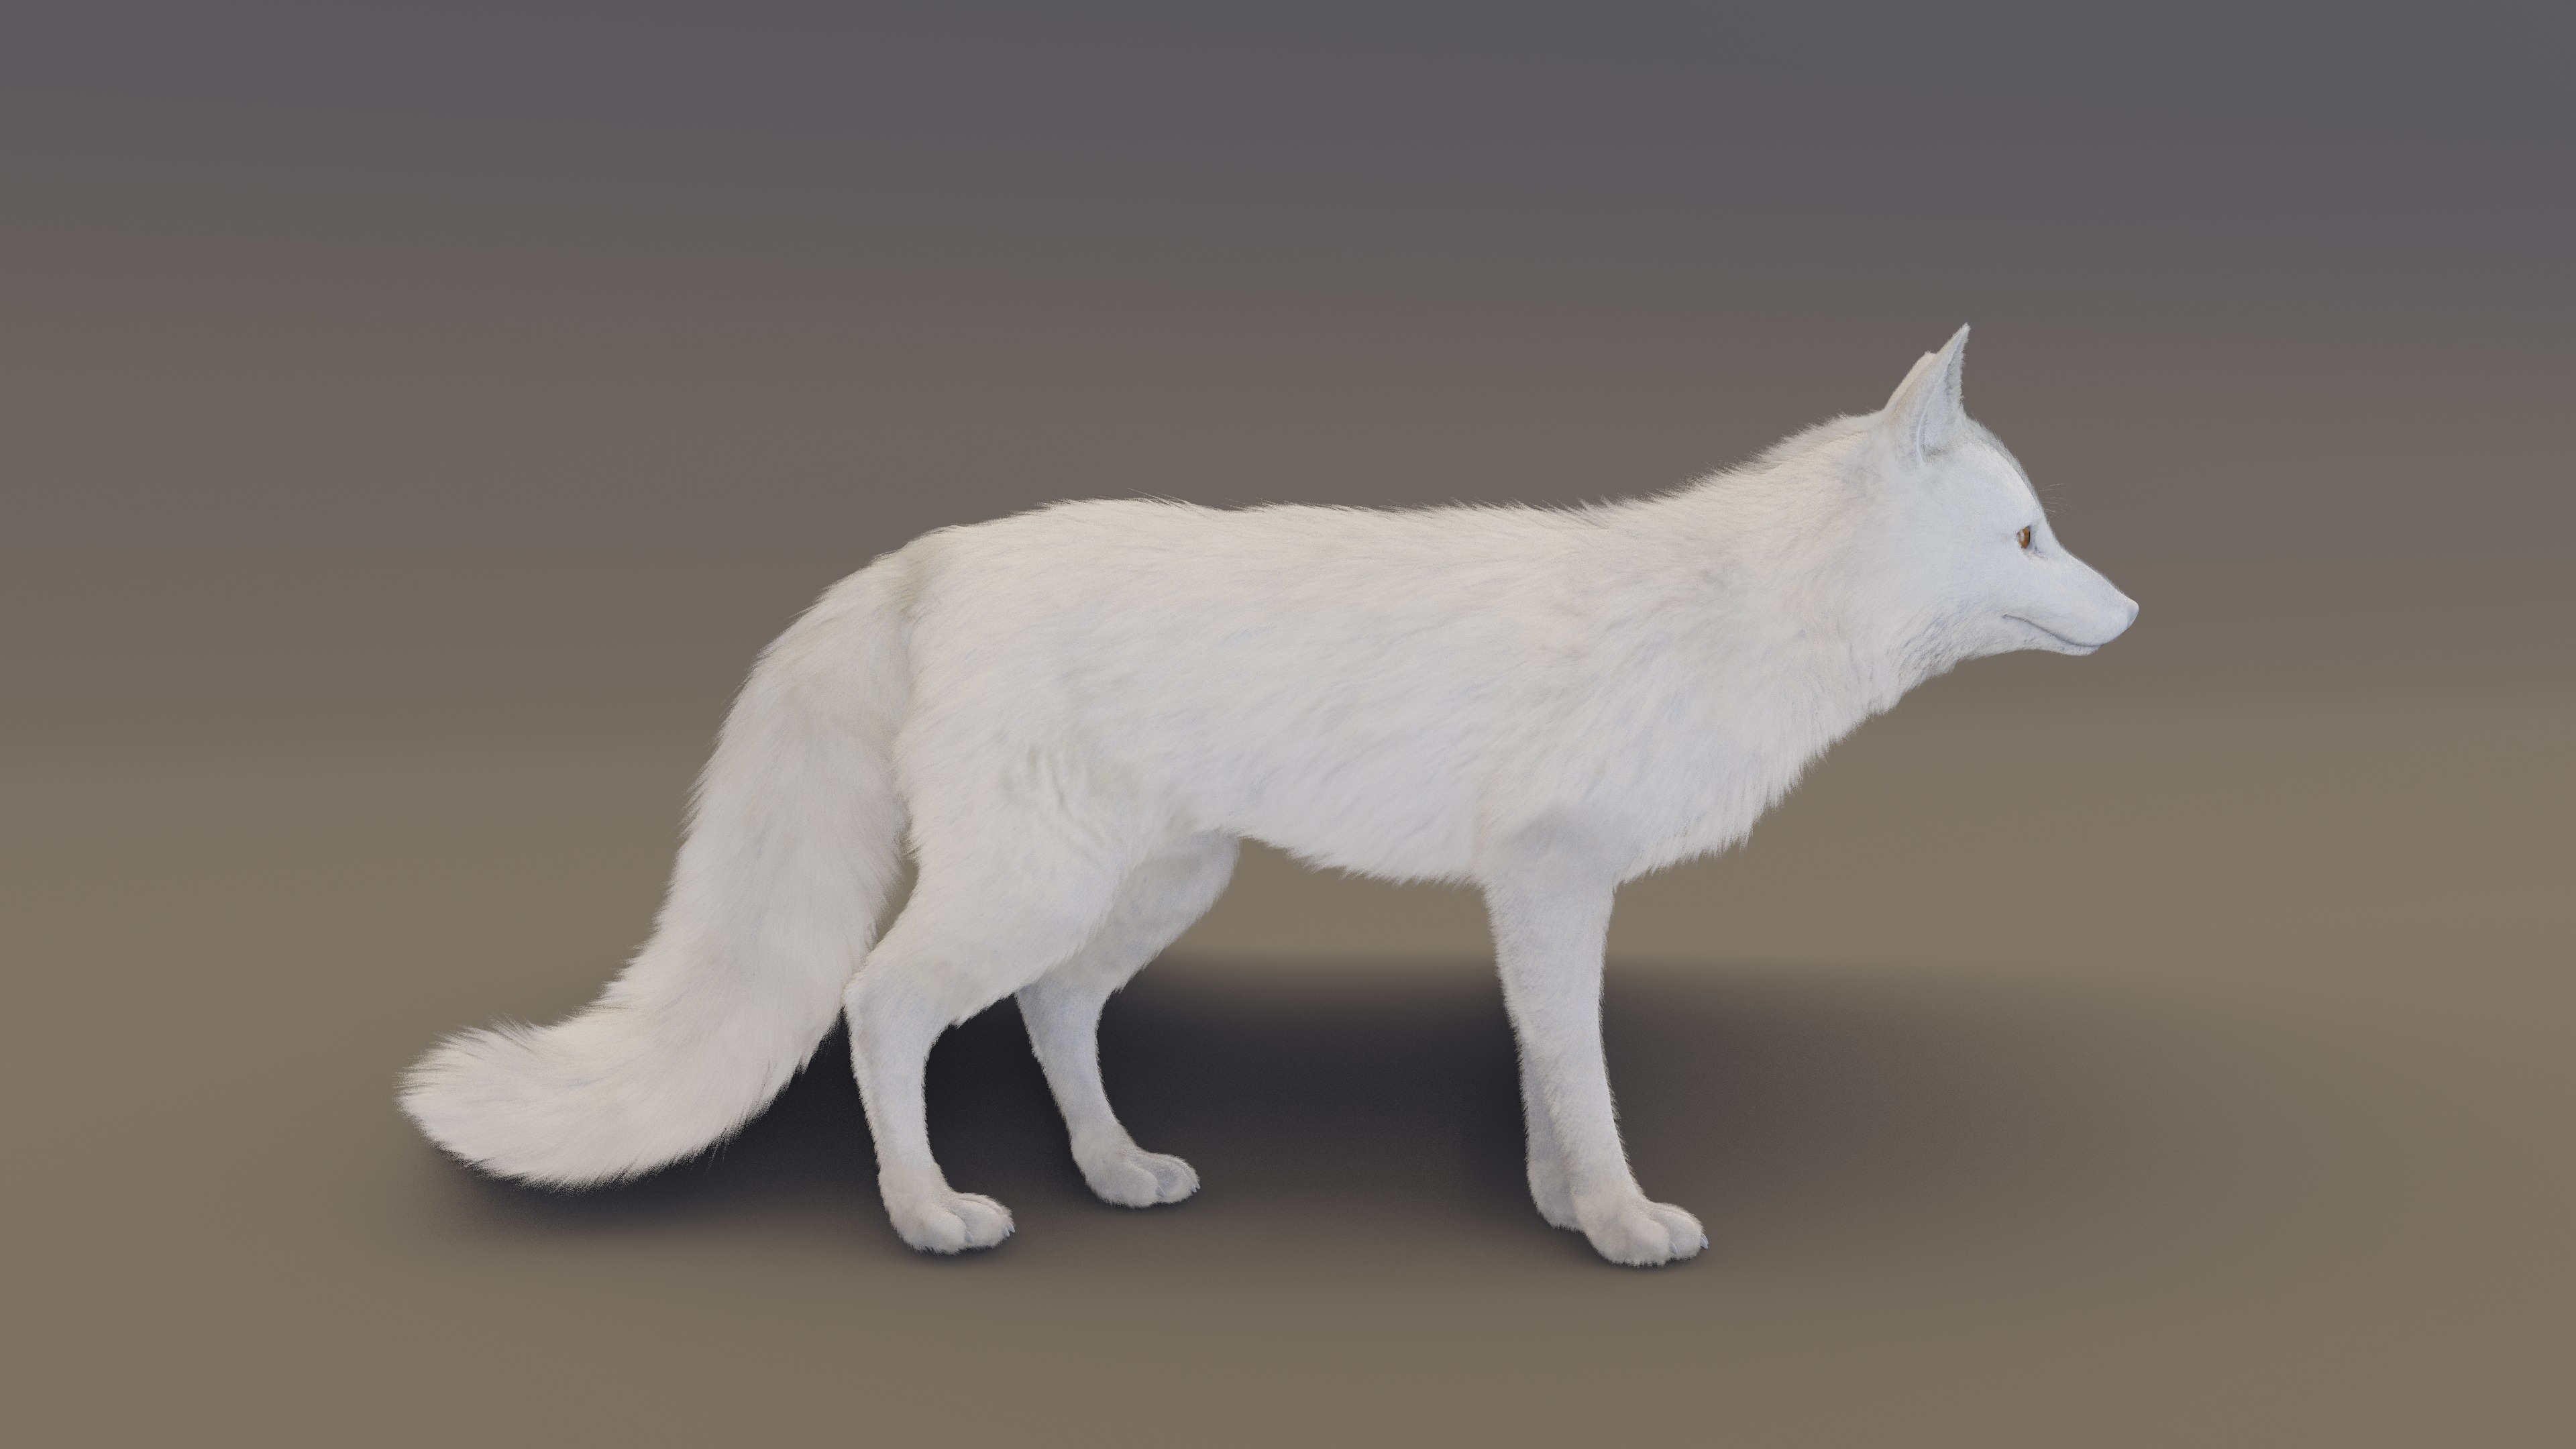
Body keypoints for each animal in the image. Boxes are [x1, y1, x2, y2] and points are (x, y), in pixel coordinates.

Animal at [402, 327, 2137, 1266]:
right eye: (2031, 538)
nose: (2132, 614)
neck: (1738, 618)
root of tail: (935, 553)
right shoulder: (1554, 875)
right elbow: (1582, 1072)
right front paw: (1621, 1221)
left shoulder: (1535, 894)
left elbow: (1538, 1068)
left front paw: (1554, 1208)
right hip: (1029, 890)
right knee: (879, 1007)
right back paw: (929, 1211)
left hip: (1156, 886)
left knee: (1050, 1014)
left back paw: (1115, 1171)